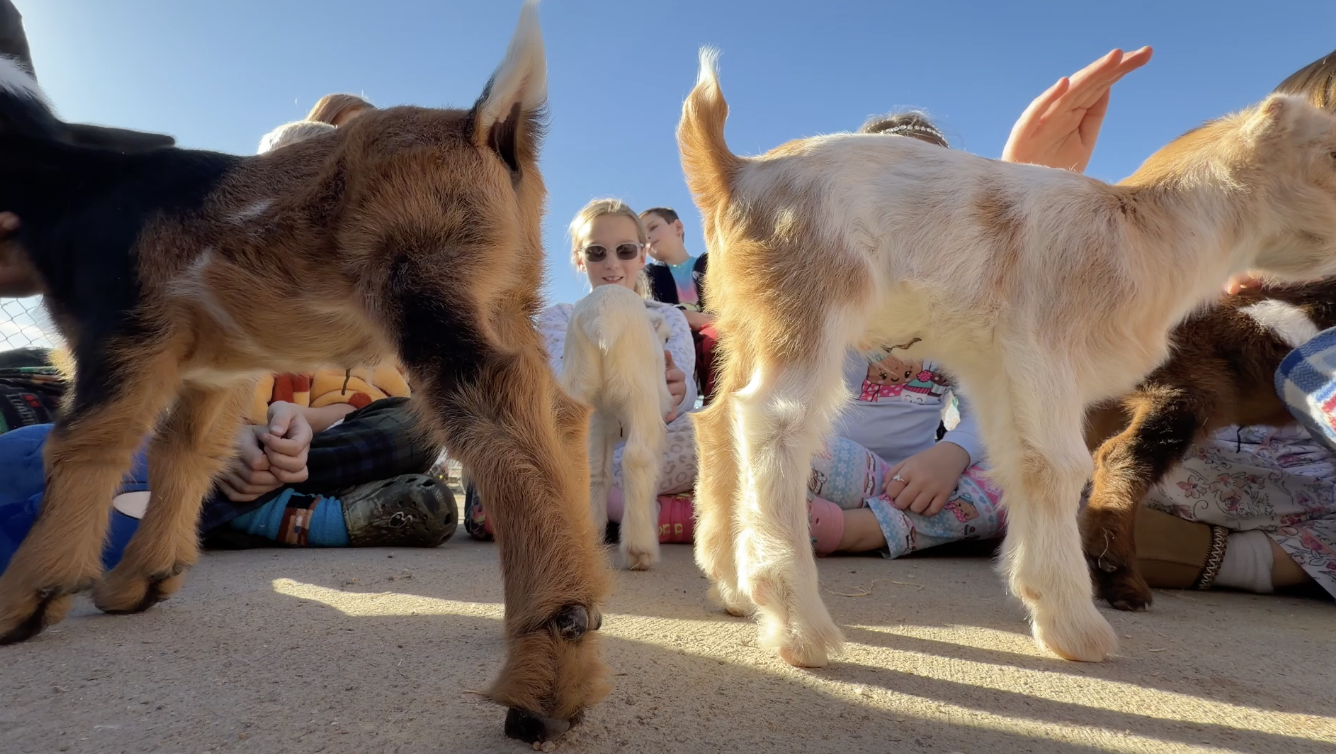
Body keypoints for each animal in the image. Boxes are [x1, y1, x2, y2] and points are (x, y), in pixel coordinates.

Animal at [0, 2, 610, 744]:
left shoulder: (121, 325)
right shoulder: (215, 368)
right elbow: (185, 451)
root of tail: (486, 123)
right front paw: (136, 586)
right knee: (560, 410)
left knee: (498, 412)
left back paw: (541, 689)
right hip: (504, 296)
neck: (70, 182)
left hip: (425, 279)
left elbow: (87, 441)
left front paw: (24, 603)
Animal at [560, 284, 673, 570]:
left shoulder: (600, 423)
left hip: (578, 394)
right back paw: (640, 550)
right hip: (639, 399)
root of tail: (602, 316)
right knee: (637, 458)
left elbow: (599, 473)